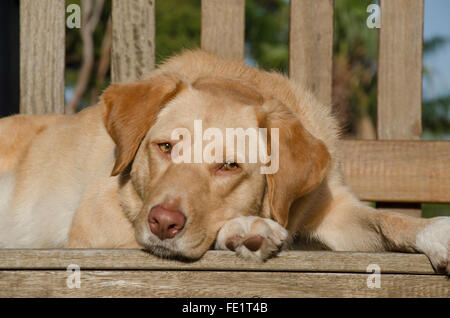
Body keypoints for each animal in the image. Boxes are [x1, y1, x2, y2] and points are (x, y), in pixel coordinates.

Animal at [0, 50, 448, 274]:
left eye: (229, 167)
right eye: (165, 147)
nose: (162, 223)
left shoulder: (333, 209)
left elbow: (387, 219)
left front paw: (432, 231)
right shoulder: (94, 224)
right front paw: (244, 229)